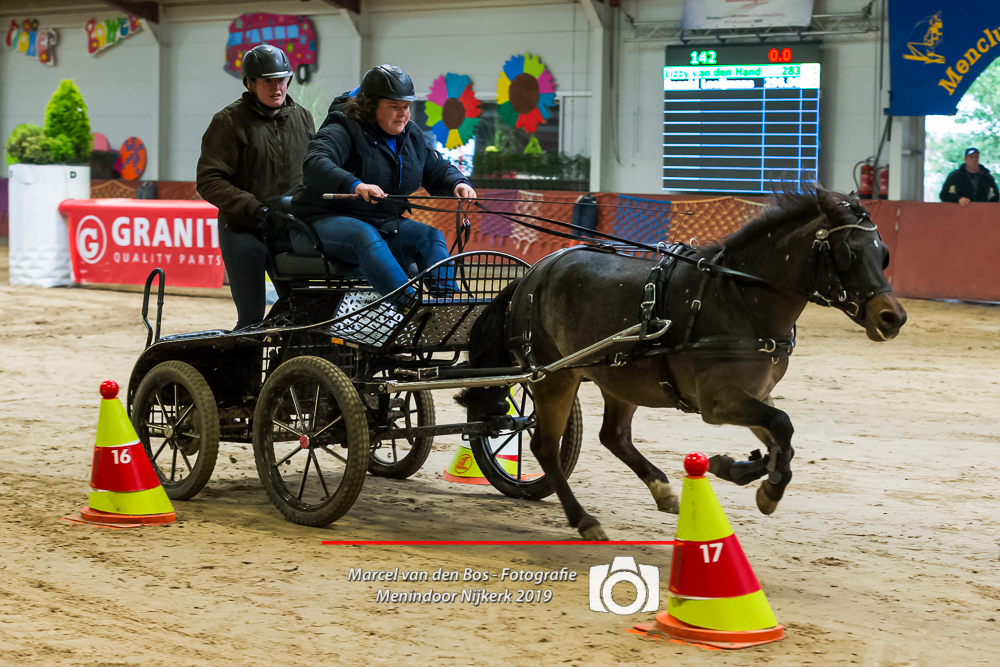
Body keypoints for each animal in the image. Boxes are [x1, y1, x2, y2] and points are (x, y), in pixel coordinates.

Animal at [458, 188, 908, 544]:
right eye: (849, 253)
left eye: (884, 255)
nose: (893, 317)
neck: (740, 299)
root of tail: (532, 274)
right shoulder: (718, 401)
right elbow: (783, 427)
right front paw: (766, 486)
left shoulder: (754, 395)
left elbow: (783, 438)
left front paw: (741, 469)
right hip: (555, 377)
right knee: (545, 447)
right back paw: (585, 521)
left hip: (618, 375)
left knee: (613, 436)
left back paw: (662, 491)